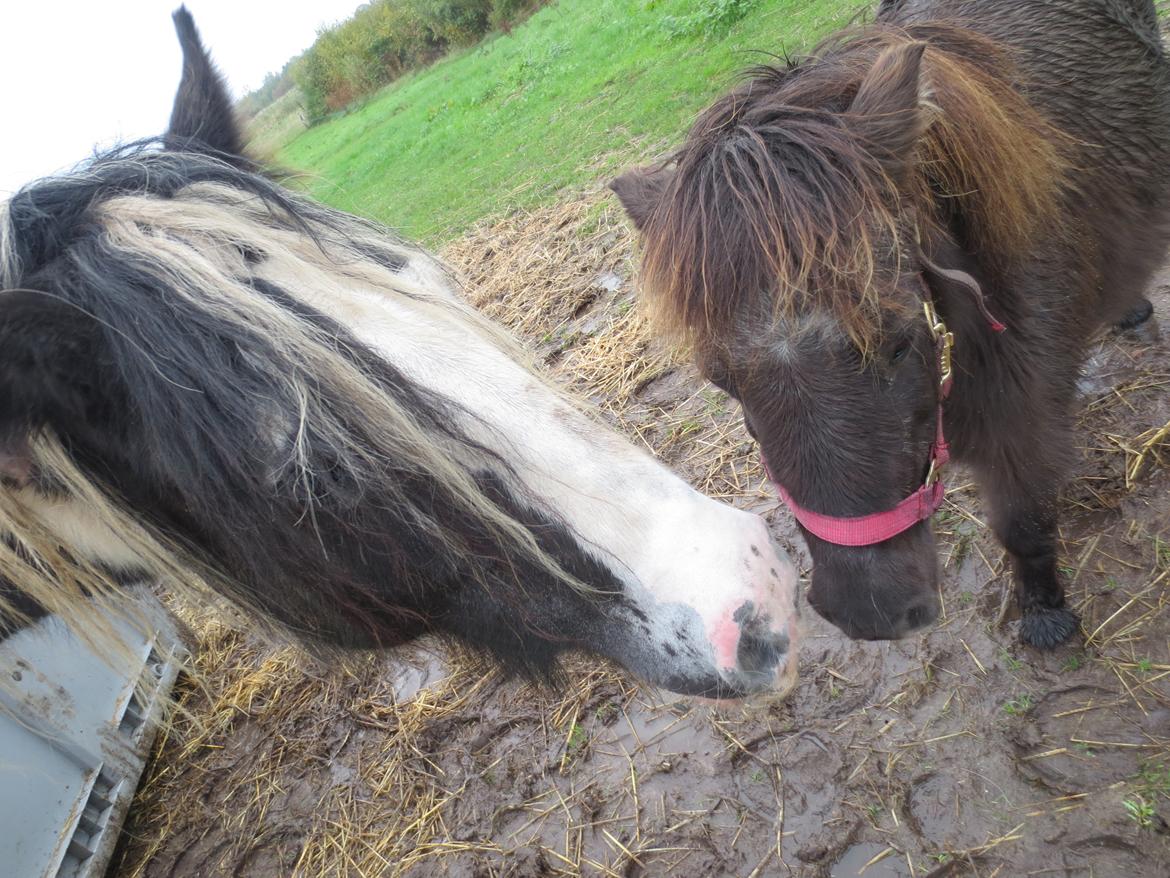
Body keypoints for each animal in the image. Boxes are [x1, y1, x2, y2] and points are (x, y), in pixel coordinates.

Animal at [613, 0, 1170, 646]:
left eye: (899, 344)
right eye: (720, 381)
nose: (870, 614)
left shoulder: (1024, 423)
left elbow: (1024, 522)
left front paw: (1045, 615)